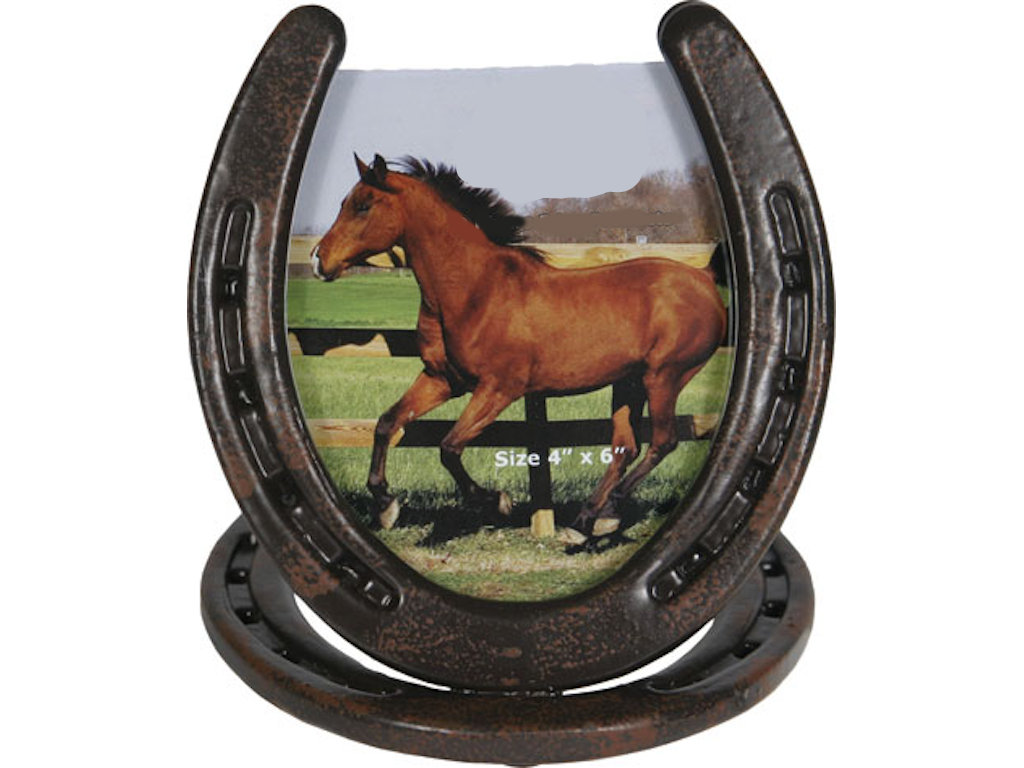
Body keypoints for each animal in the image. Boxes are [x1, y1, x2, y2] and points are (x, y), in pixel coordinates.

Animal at [311, 153, 727, 546]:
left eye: (364, 205)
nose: (318, 260)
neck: (475, 289)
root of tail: (703, 278)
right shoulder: (442, 379)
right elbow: (386, 423)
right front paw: (386, 506)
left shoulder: (500, 388)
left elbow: (449, 447)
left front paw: (497, 501)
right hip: (629, 382)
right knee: (625, 447)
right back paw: (586, 521)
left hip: (665, 376)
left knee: (662, 441)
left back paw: (603, 513)